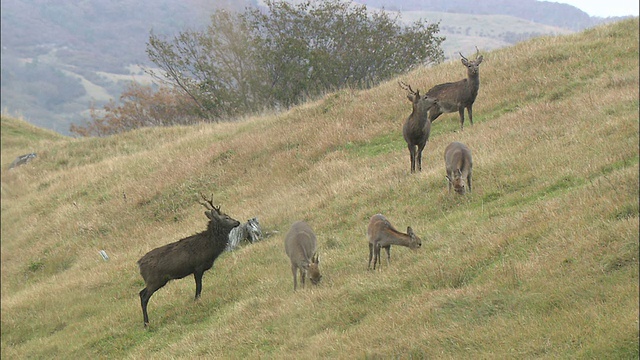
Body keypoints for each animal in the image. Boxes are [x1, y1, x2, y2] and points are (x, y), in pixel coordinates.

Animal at [138, 195, 240, 328]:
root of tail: (139, 265)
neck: (209, 247)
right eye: (226, 217)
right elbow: (199, 286)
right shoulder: (198, 266)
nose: (238, 222)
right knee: (143, 296)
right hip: (155, 280)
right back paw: (146, 323)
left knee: (141, 293)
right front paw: (196, 300)